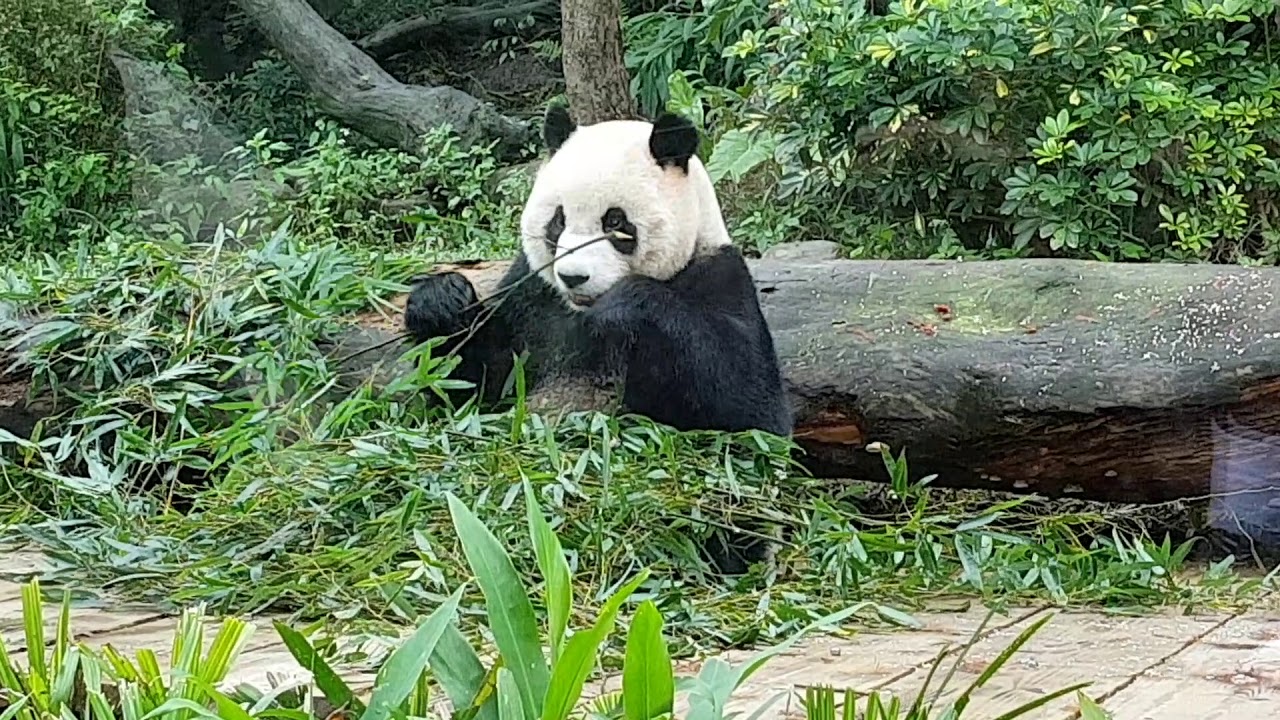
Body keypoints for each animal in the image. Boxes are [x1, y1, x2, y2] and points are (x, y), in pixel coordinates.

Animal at [402, 104, 793, 441]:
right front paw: (442, 300)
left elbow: (751, 410)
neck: (579, 309)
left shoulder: (717, 276)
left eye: (616, 222)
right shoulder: (532, 298)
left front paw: (623, 305)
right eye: (558, 220)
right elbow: (475, 385)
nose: (573, 278)